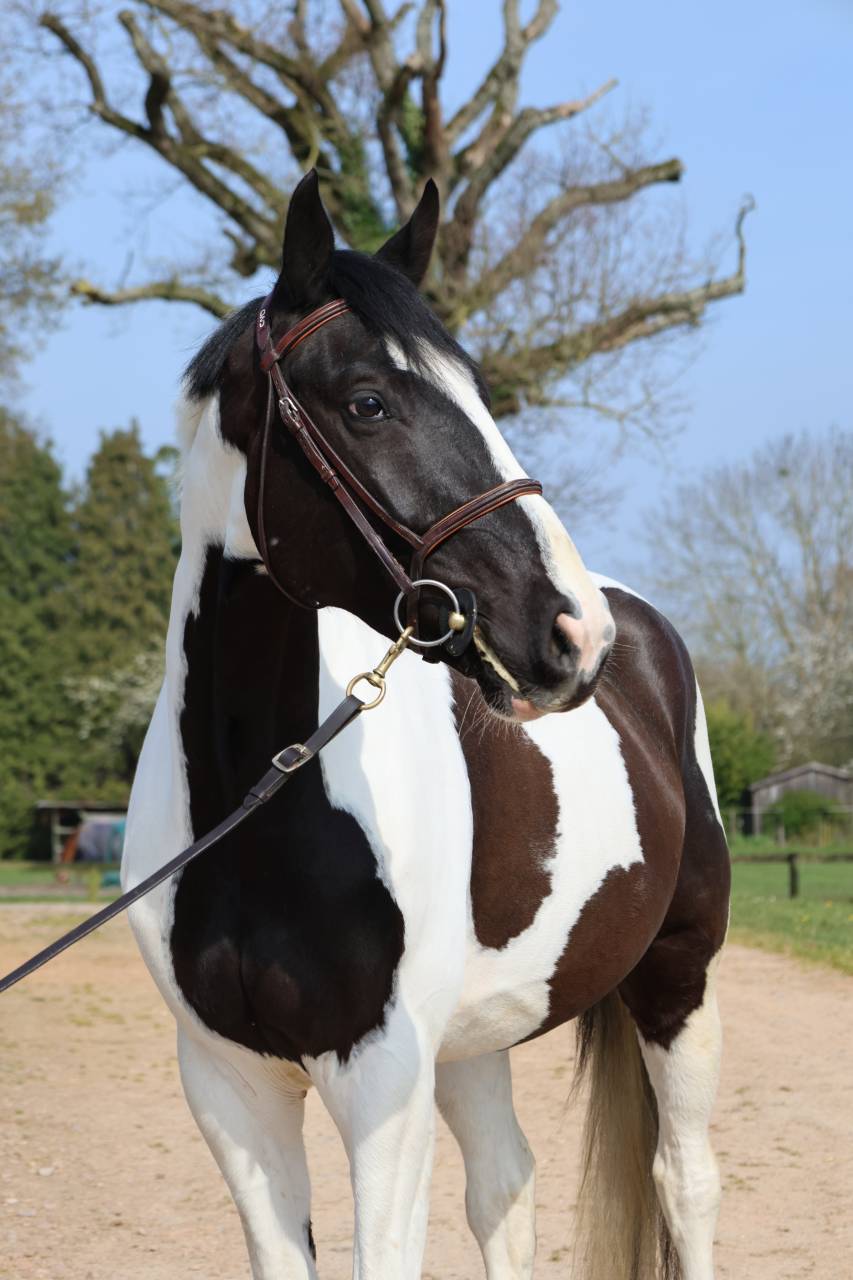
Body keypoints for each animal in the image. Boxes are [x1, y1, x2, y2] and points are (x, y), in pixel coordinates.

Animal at [122, 170, 730, 1280]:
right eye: (368, 402)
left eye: (479, 390)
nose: (572, 631)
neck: (257, 807)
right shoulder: (232, 1086)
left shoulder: (382, 1085)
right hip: (475, 1040)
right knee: (507, 1189)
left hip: (680, 974)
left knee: (684, 1180)